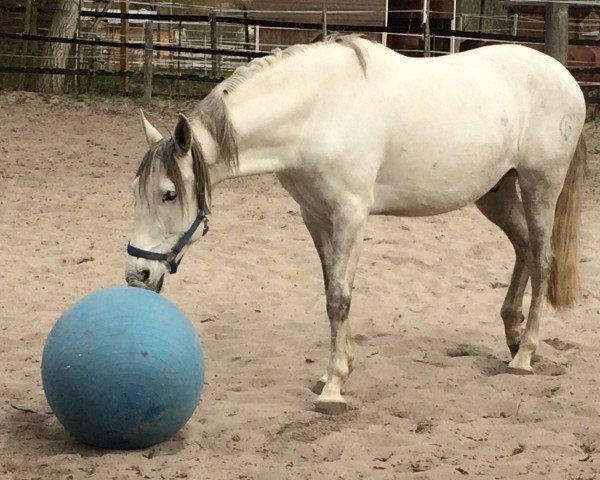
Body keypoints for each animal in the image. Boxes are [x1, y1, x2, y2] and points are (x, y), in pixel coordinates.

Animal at [125, 35, 584, 414]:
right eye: (135, 190)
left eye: (169, 194)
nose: (136, 274)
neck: (318, 111)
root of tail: (565, 78)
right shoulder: (315, 216)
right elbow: (332, 287)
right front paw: (335, 372)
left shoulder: (351, 215)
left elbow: (339, 299)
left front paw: (333, 391)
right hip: (497, 192)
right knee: (523, 247)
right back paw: (512, 336)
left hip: (540, 185)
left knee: (542, 258)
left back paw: (524, 356)